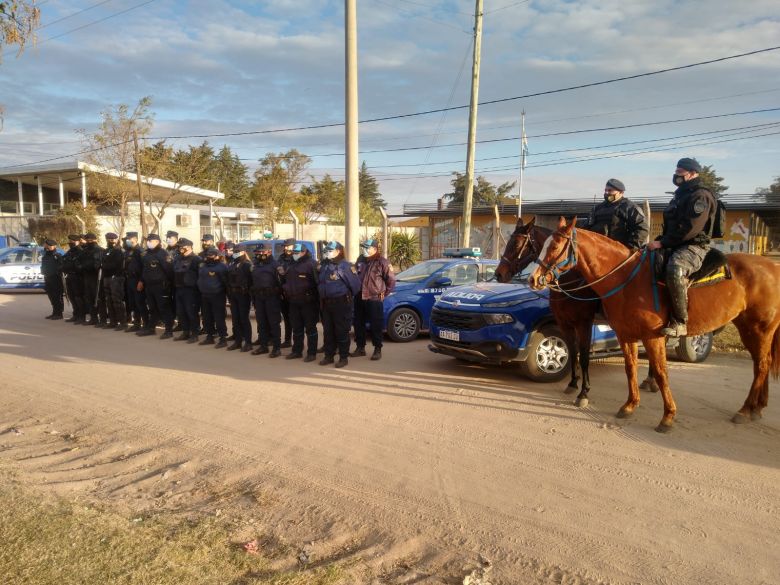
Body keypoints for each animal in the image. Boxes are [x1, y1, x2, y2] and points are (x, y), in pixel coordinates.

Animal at [496, 216, 656, 406]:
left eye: (516, 244)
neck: (570, 280)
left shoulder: (584, 323)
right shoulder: (565, 323)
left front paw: (584, 393)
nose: (499, 274)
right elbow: (572, 352)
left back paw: (651, 380)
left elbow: (584, 356)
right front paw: (573, 384)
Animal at [532, 217, 780, 432]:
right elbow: (630, 368)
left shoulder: (650, 336)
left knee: (762, 364)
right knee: (762, 363)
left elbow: (661, 372)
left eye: (555, 246)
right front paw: (630, 405)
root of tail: (773, 266)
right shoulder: (625, 335)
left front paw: (668, 416)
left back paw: (746, 409)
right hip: (747, 327)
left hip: (760, 329)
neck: (625, 279)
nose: (533, 279)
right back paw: (756, 407)